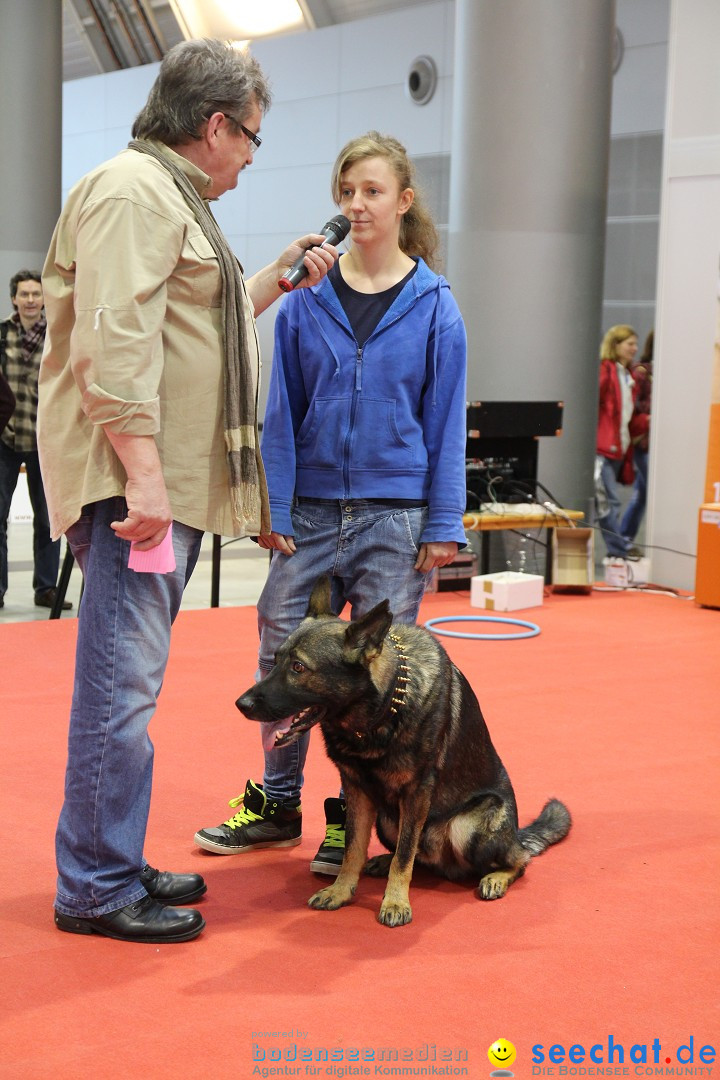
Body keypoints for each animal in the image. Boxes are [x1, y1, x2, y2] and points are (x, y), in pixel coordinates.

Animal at [239, 578, 569, 924]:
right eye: (275, 659)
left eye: (298, 667)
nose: (241, 704)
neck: (379, 713)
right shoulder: (357, 790)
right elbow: (354, 848)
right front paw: (341, 891)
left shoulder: (416, 793)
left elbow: (405, 854)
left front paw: (395, 902)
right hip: (387, 819)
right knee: (414, 855)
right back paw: (383, 862)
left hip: (467, 827)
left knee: (518, 860)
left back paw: (496, 877)